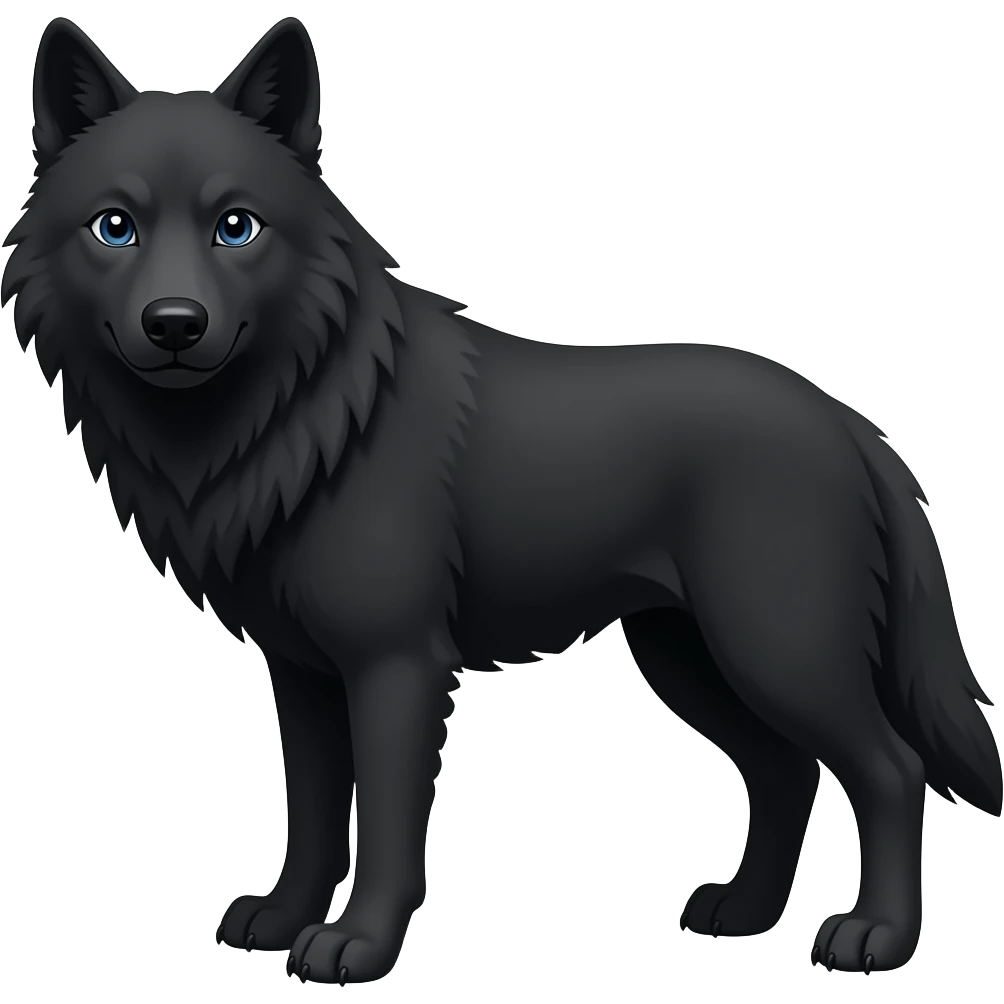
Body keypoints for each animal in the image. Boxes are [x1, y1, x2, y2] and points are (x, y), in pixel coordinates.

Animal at [4, 15, 1000, 985]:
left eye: (236, 227)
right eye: (115, 228)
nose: (175, 326)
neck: (301, 415)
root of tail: (851, 424)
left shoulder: (396, 664)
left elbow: (388, 825)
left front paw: (357, 947)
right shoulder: (302, 673)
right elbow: (315, 815)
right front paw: (284, 921)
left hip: (777, 652)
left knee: (890, 770)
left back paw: (875, 938)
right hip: (688, 659)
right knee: (787, 773)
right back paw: (744, 915)